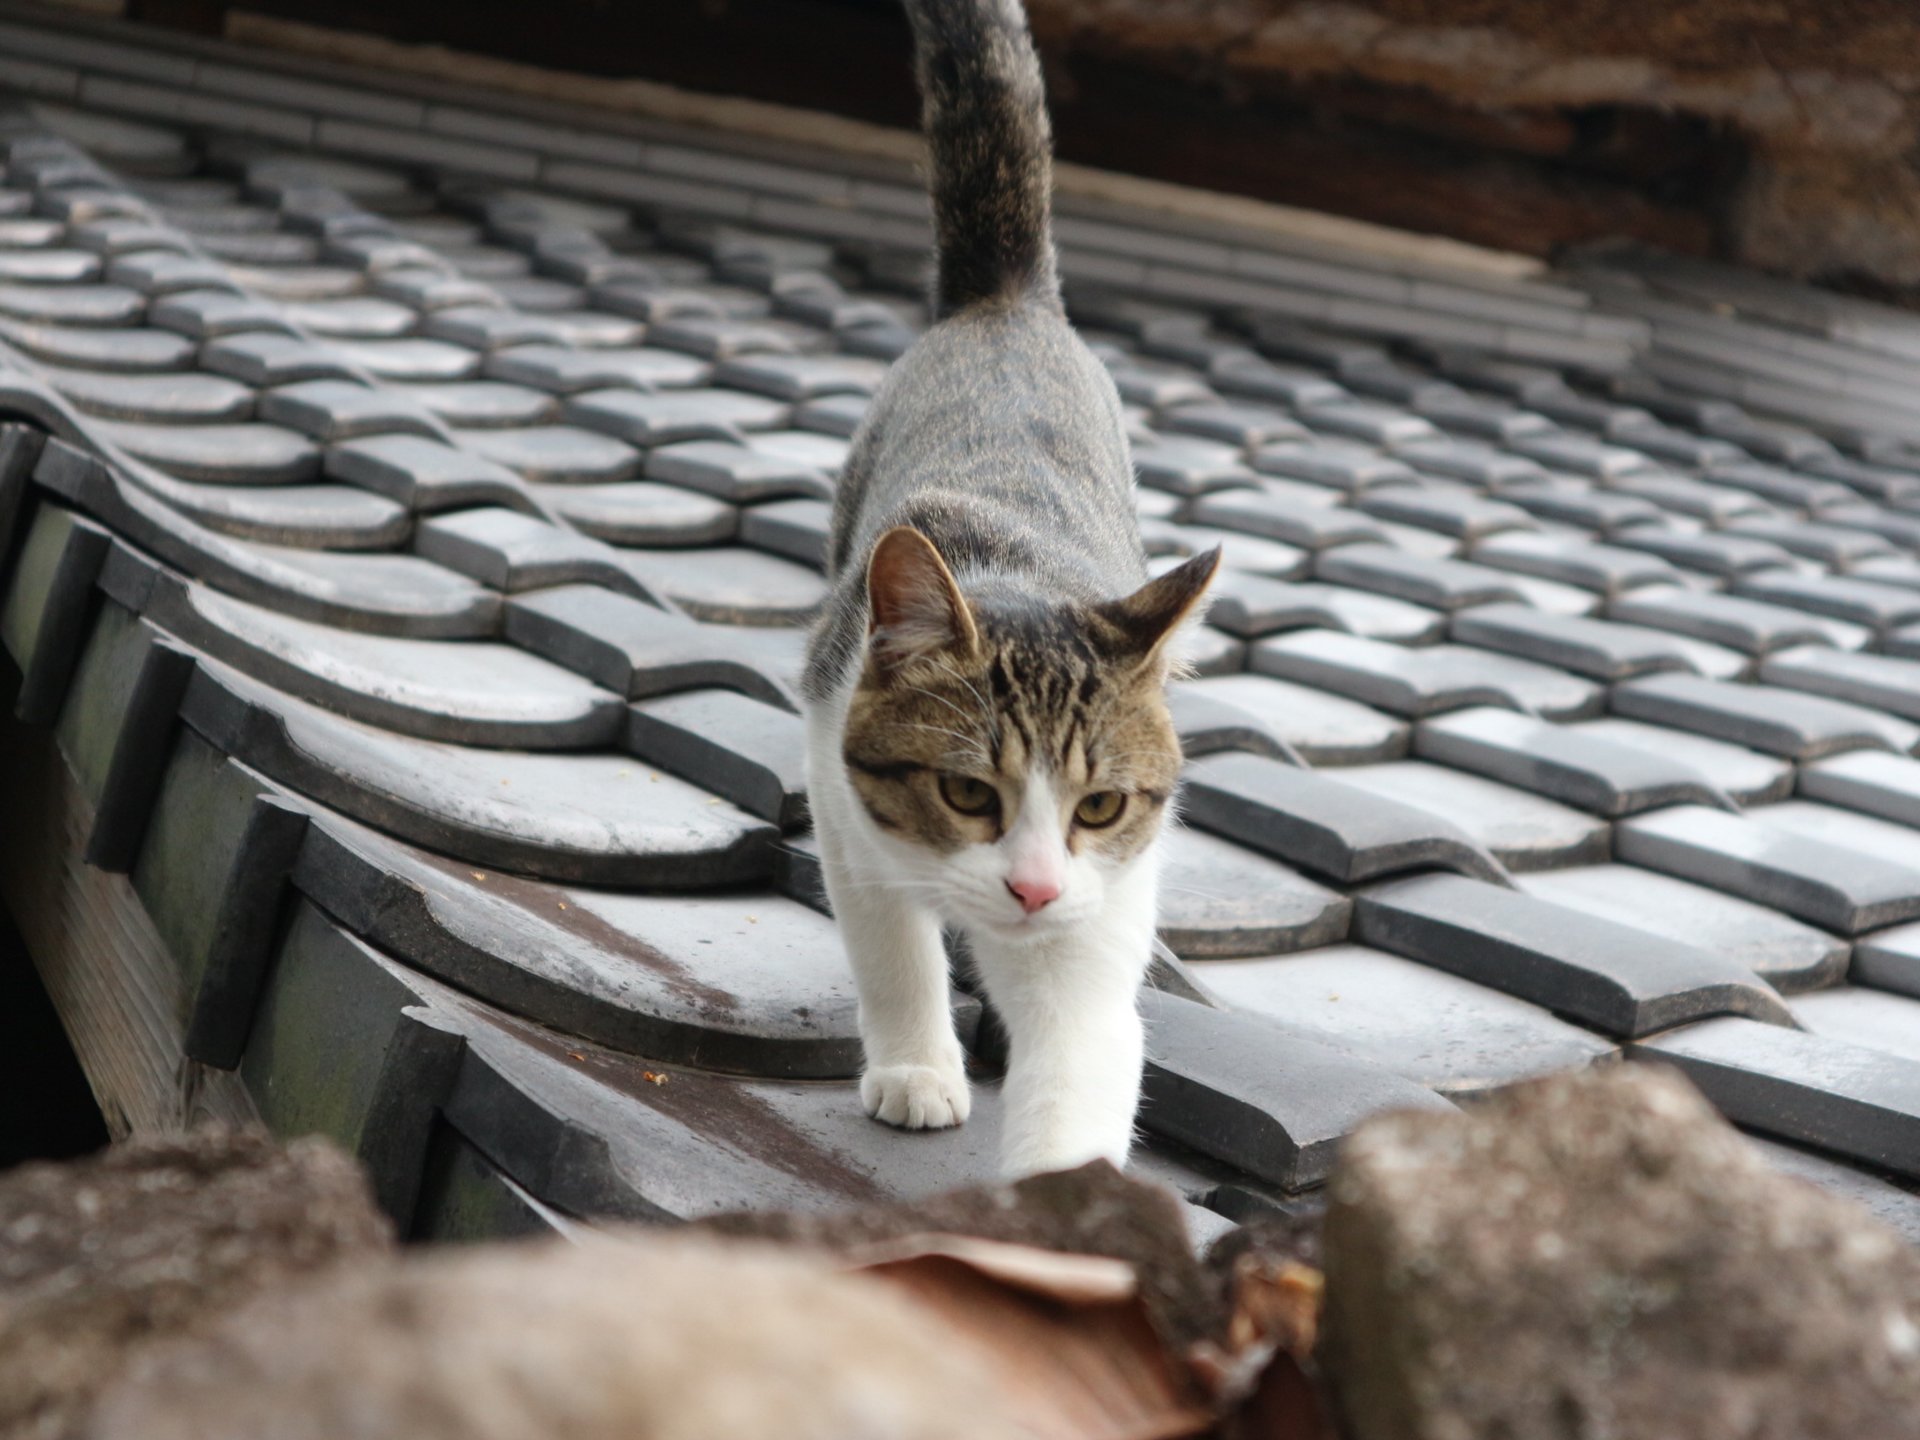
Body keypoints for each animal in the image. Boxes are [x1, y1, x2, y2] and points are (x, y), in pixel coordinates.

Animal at [802, 0, 1221, 1175]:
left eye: (1102, 805)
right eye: (967, 794)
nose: (1030, 888)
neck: (1022, 572)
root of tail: (1007, 303)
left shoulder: (1097, 915)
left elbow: (1079, 1061)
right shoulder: (842, 791)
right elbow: (891, 942)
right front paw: (916, 1066)